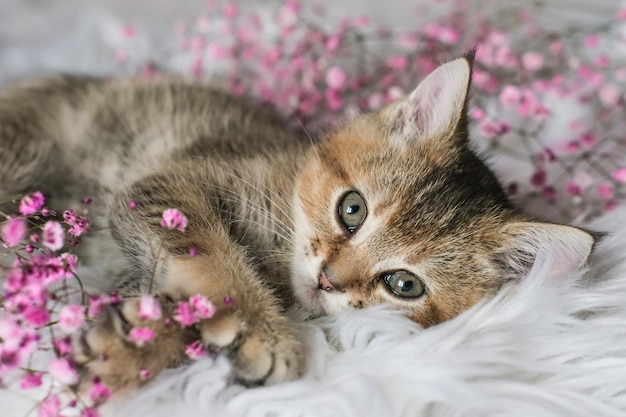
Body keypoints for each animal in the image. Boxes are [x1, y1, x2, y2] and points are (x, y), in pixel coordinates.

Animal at [0, 54, 596, 394]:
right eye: (352, 209)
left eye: (404, 285)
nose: (330, 278)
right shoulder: (168, 183)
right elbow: (208, 253)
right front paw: (260, 329)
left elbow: (173, 305)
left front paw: (120, 356)